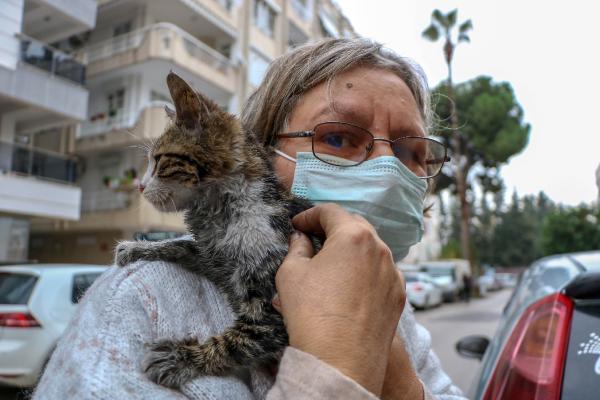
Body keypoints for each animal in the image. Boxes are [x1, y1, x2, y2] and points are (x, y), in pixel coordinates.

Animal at [116, 72, 314, 388]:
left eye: (159, 161)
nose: (140, 186)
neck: (224, 214)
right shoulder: (213, 257)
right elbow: (182, 245)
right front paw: (139, 248)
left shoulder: (272, 312)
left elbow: (234, 343)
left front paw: (183, 357)